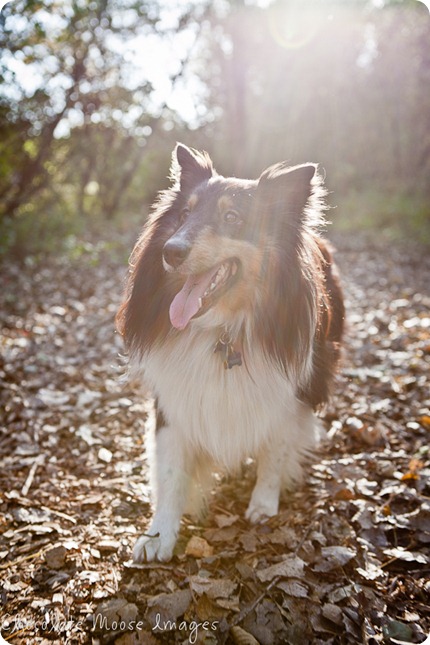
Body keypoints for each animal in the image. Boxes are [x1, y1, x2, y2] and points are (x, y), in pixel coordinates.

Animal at [116, 143, 344, 560]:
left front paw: (263, 506)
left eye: (231, 217)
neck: (223, 330)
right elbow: (171, 473)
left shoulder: (289, 397)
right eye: (184, 214)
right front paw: (158, 536)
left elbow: (275, 452)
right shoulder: (173, 401)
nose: (171, 251)